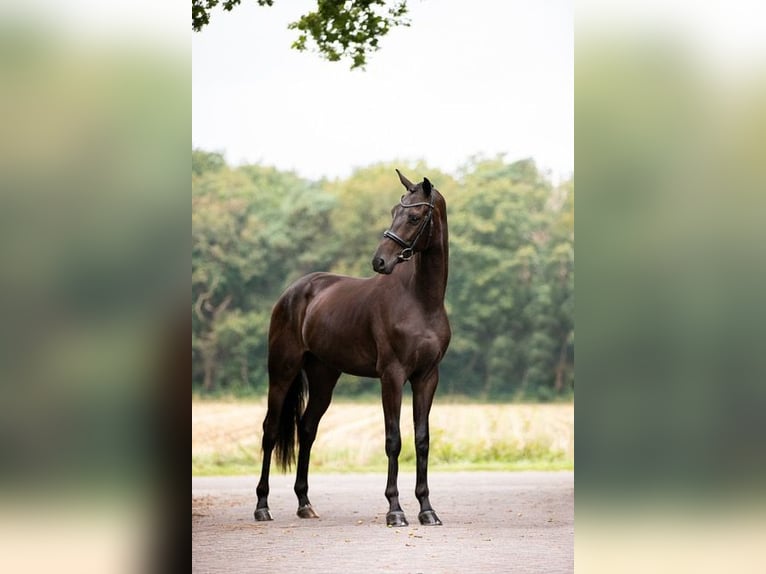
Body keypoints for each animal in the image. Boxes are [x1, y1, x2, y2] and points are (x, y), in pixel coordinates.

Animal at [255, 170, 452, 528]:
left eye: (414, 217)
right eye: (394, 211)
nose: (380, 261)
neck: (421, 301)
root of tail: (293, 292)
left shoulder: (427, 377)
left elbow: (422, 439)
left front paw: (427, 510)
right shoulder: (392, 376)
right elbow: (393, 439)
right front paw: (395, 510)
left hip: (323, 376)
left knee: (307, 428)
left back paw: (305, 503)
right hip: (282, 372)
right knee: (271, 430)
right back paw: (262, 506)